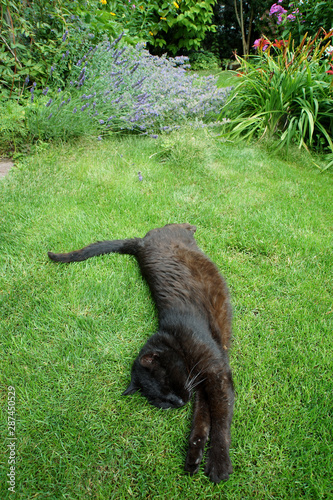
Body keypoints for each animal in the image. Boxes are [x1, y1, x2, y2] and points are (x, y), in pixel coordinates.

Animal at [48, 224, 233, 484]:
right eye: (160, 400)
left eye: (168, 384)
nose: (178, 403)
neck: (174, 338)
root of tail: (140, 244)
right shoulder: (200, 385)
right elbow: (202, 418)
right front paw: (194, 457)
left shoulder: (216, 373)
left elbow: (220, 418)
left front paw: (219, 463)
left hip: (169, 233)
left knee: (172, 224)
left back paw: (191, 226)